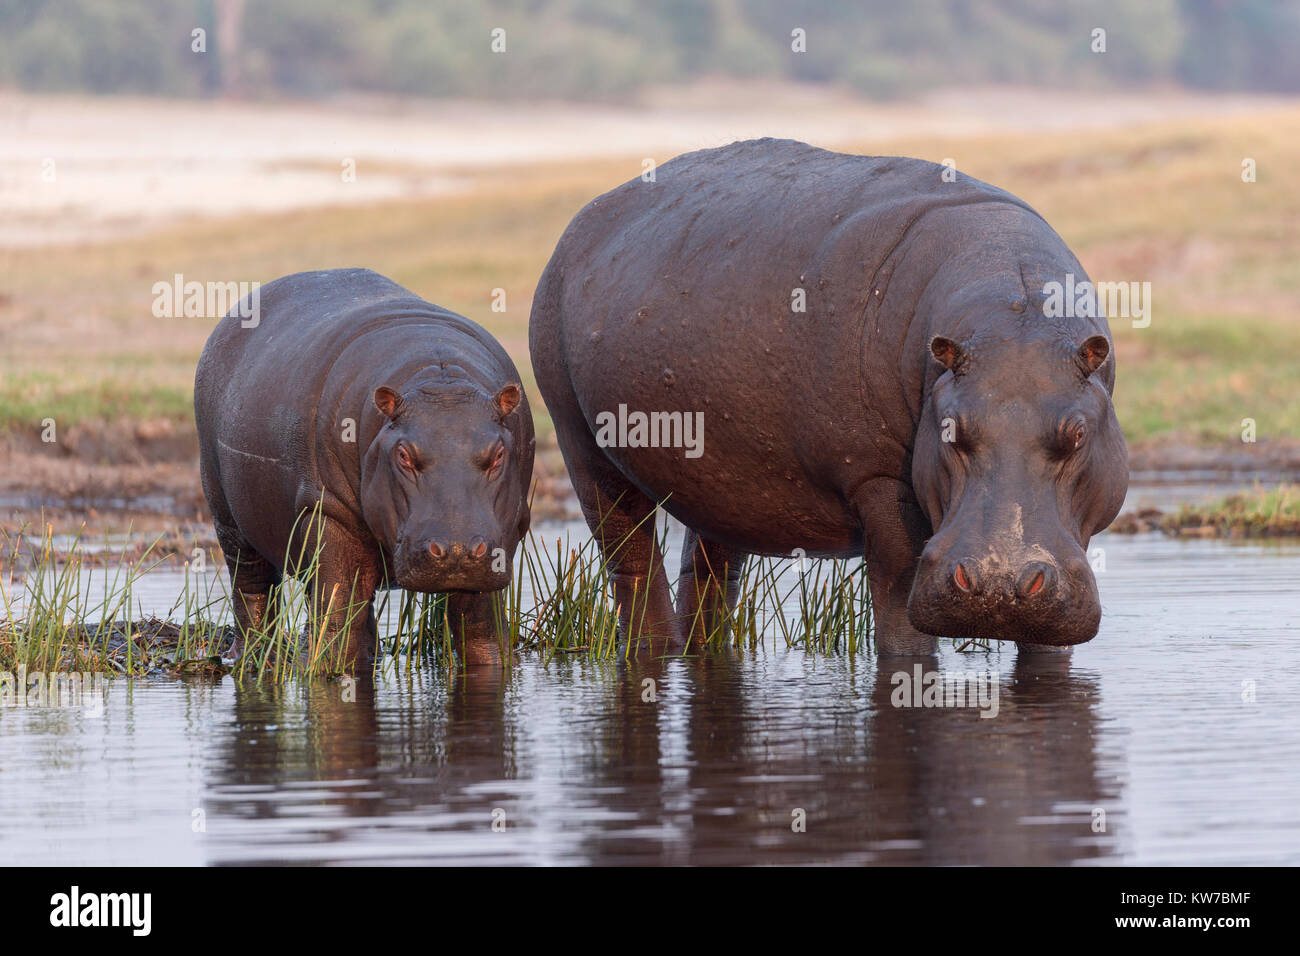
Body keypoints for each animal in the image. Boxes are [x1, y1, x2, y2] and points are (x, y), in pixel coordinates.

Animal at [195, 268, 534, 668]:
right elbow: (337, 609)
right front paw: (326, 670)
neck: (439, 378)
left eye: (497, 454)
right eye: (403, 455)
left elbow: (480, 627)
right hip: (228, 517)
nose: (456, 550)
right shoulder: (327, 512)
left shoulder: (503, 536)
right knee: (252, 587)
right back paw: (253, 659)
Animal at [529, 138, 1127, 655]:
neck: (1013, 303)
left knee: (708, 570)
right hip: (580, 441)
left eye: (1078, 434)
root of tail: (578, 225)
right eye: (950, 428)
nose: (999, 582)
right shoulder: (878, 478)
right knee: (628, 557)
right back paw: (649, 650)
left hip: (717, 483)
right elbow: (898, 602)